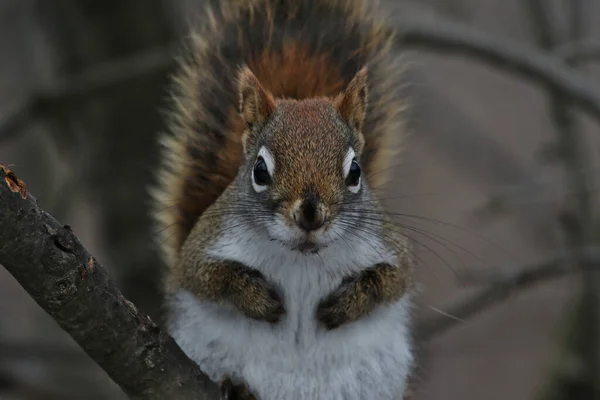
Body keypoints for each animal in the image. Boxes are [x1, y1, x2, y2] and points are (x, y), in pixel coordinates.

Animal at [151, 0, 412, 400]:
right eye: (259, 170)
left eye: (355, 171)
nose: (310, 213)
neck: (301, 257)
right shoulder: (202, 248)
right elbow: (208, 277)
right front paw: (257, 298)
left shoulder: (391, 246)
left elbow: (391, 280)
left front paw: (346, 304)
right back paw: (236, 388)